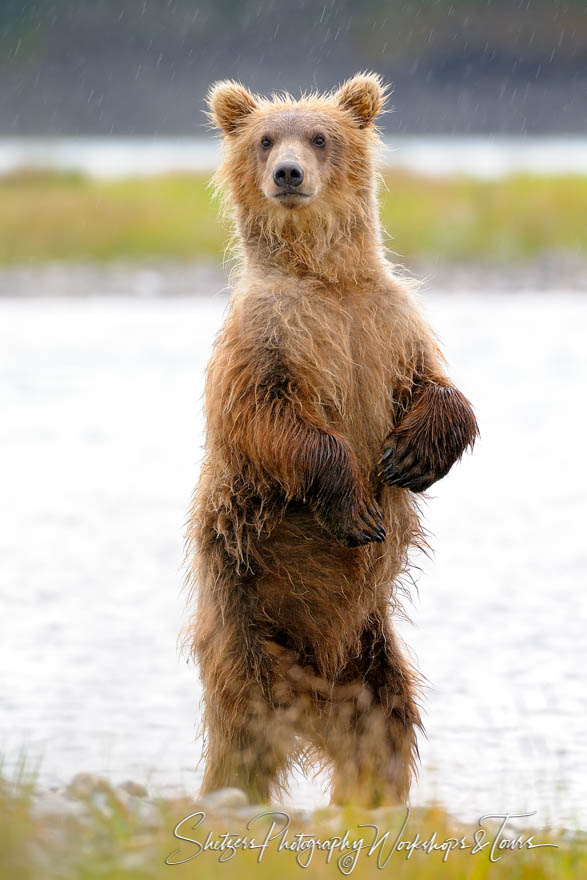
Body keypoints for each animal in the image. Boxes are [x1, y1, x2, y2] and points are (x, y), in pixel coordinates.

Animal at [186, 72, 480, 808]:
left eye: (319, 136)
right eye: (266, 138)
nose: (288, 173)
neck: (325, 278)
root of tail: (308, 692)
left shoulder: (388, 327)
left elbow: (442, 391)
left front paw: (411, 455)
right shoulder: (267, 337)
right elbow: (268, 419)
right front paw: (355, 505)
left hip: (367, 656)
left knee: (384, 727)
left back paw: (369, 798)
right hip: (245, 617)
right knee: (243, 732)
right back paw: (231, 792)